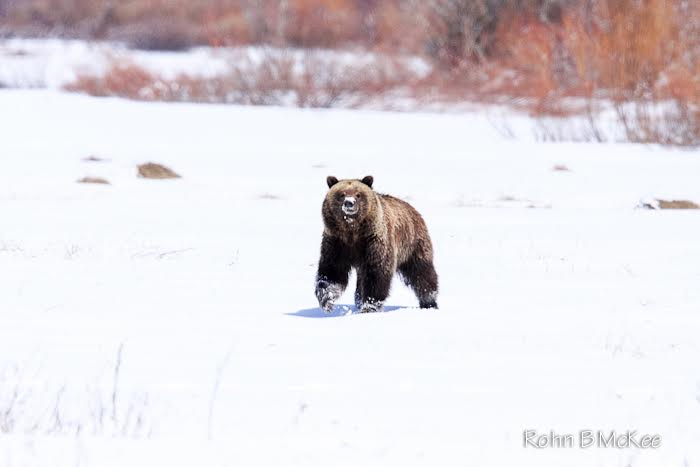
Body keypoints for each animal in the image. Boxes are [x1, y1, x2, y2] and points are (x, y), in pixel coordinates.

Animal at [315, 175, 438, 313]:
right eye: (342, 194)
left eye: (358, 194)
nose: (349, 203)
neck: (352, 232)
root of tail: (413, 209)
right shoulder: (336, 243)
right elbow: (332, 273)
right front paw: (326, 299)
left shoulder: (374, 243)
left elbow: (377, 274)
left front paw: (370, 306)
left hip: (413, 245)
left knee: (422, 274)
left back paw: (429, 302)